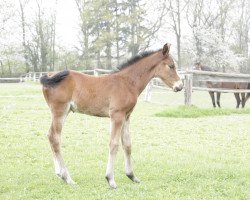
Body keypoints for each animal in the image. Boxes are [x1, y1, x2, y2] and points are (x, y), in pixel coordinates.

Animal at [40, 43, 183, 188]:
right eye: (171, 65)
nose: (180, 86)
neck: (127, 82)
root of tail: (50, 75)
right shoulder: (117, 116)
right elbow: (114, 144)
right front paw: (111, 179)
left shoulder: (126, 116)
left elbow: (127, 144)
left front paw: (132, 176)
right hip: (60, 111)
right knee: (55, 138)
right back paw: (67, 177)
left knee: (50, 135)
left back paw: (59, 173)